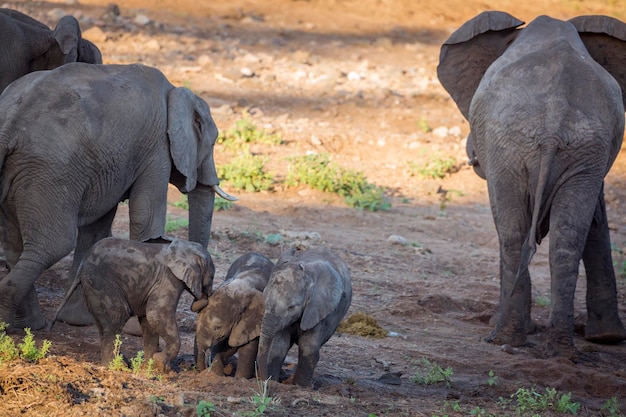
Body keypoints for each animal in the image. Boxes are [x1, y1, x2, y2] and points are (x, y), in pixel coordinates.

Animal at [0, 62, 235, 328]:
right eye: (213, 143)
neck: (175, 90)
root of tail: (9, 124)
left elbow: (97, 228)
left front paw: (79, 321)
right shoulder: (157, 148)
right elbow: (147, 216)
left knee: (15, 244)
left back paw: (24, 326)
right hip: (50, 172)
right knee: (53, 244)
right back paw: (15, 326)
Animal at [49, 236, 214, 368]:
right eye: (212, 277)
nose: (207, 297)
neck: (184, 247)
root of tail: (82, 264)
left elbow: (148, 320)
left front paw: (148, 368)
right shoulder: (169, 279)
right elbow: (156, 314)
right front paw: (160, 364)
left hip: (92, 287)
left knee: (104, 324)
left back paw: (122, 363)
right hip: (101, 282)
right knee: (117, 316)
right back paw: (113, 366)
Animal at [255, 245, 352, 386]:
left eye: (291, 307)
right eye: (264, 301)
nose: (264, 380)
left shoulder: (320, 309)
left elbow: (308, 347)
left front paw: (298, 386)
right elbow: (279, 344)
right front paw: (274, 381)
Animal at [436, 11, 624, 356]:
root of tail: (553, 125)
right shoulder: (594, 159)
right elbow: (594, 218)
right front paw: (607, 338)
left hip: (507, 147)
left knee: (511, 234)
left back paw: (503, 338)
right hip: (576, 147)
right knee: (565, 240)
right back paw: (560, 351)